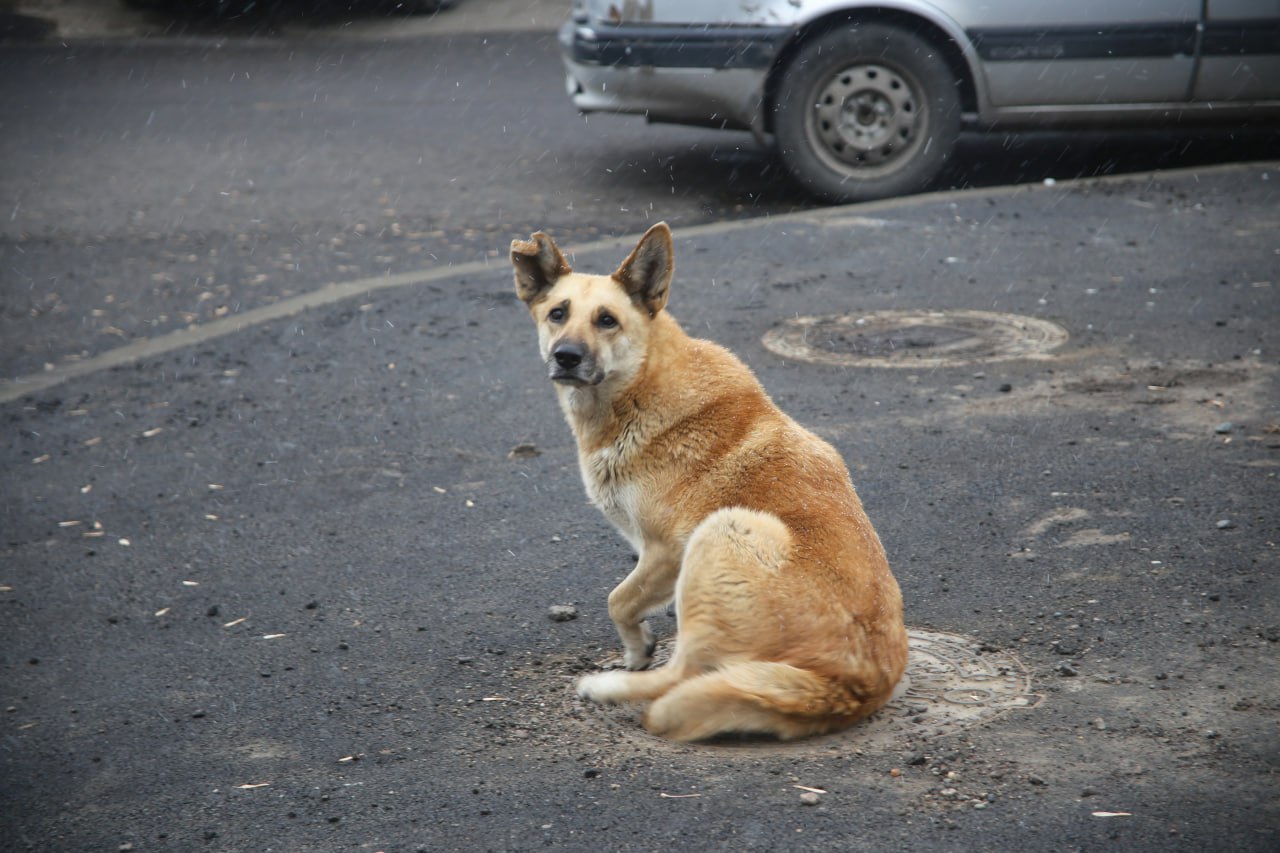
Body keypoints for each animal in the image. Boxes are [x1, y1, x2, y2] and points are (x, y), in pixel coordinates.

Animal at [509, 220, 911, 737]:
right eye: (557, 313)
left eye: (607, 320)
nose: (566, 356)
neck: (640, 386)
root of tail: (852, 686)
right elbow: (625, 601)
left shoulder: (665, 552)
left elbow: (618, 600)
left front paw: (635, 650)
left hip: (723, 529)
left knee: (684, 673)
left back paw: (607, 687)